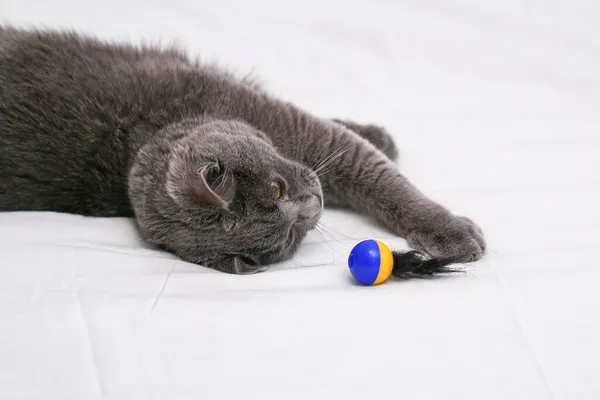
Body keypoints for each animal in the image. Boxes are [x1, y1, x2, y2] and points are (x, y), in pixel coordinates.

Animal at [0, 25, 488, 276]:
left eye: (274, 189)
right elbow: (369, 168)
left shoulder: (301, 130)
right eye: (287, 240)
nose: (312, 208)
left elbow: (376, 172)